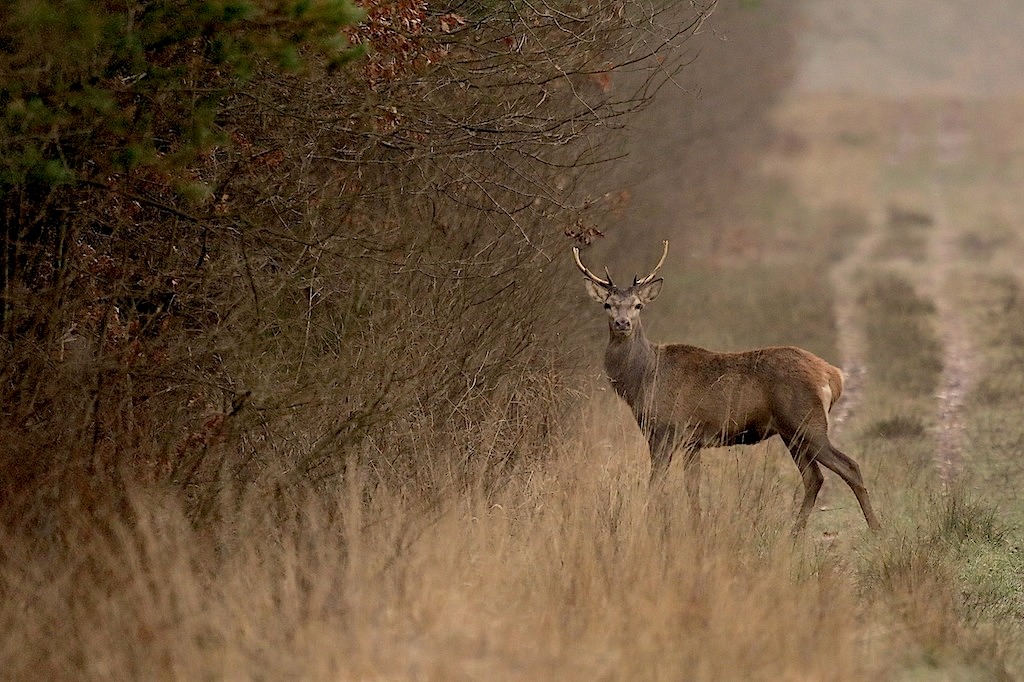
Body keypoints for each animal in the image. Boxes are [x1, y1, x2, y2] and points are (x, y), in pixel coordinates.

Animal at [573, 241, 880, 534]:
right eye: (607, 305)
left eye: (638, 305)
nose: (622, 323)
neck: (643, 379)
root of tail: (833, 375)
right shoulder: (692, 440)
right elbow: (692, 488)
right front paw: (696, 527)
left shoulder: (665, 430)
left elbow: (657, 485)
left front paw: (651, 526)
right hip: (790, 431)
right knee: (814, 477)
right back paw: (794, 532)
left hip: (807, 421)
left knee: (849, 466)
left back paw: (875, 529)